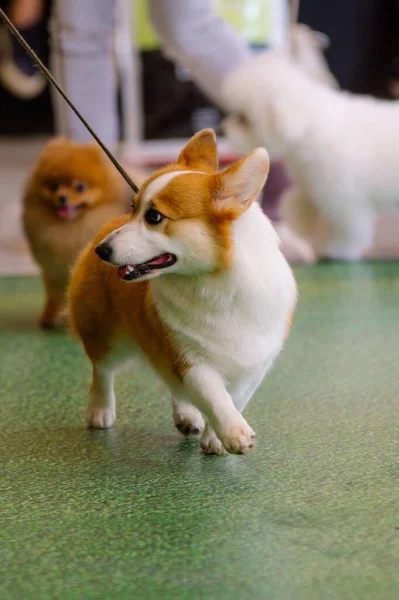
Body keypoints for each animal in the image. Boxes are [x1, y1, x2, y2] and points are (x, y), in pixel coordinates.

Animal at [223, 49, 399, 260]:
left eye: (244, 119)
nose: (224, 128)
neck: (310, 128)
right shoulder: (314, 189)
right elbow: (299, 206)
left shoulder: (344, 201)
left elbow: (347, 229)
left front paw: (336, 249)